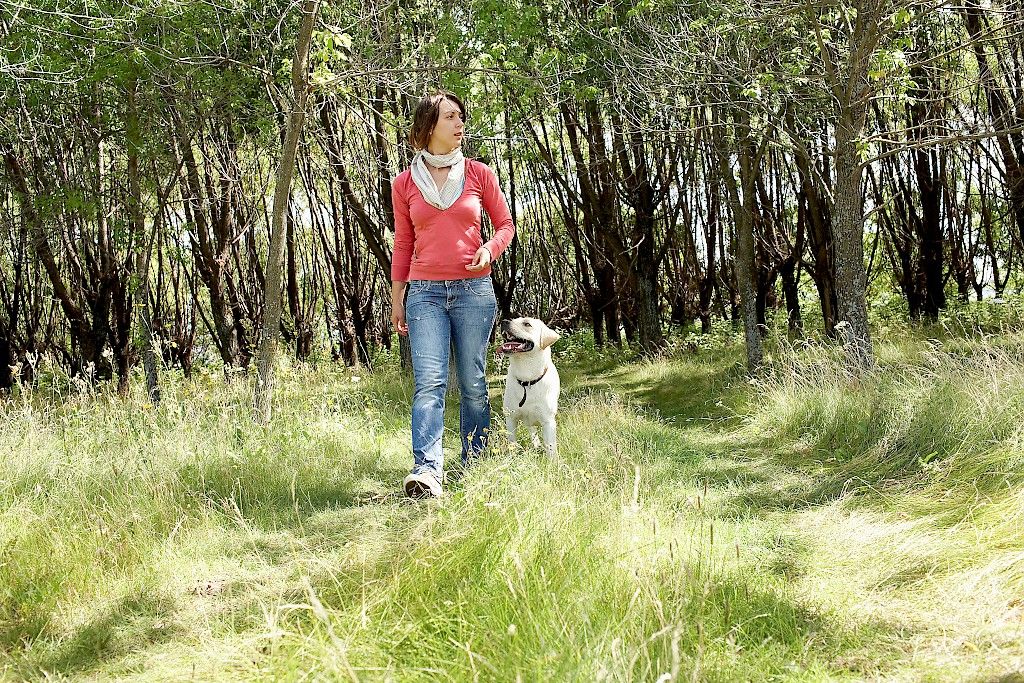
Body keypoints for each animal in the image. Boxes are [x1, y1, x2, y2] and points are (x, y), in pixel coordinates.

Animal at [495, 317, 561, 456]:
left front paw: (553, 460)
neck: (527, 379)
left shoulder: (548, 422)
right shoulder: (510, 418)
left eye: (527, 324)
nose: (504, 321)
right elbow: (512, 443)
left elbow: (551, 447)